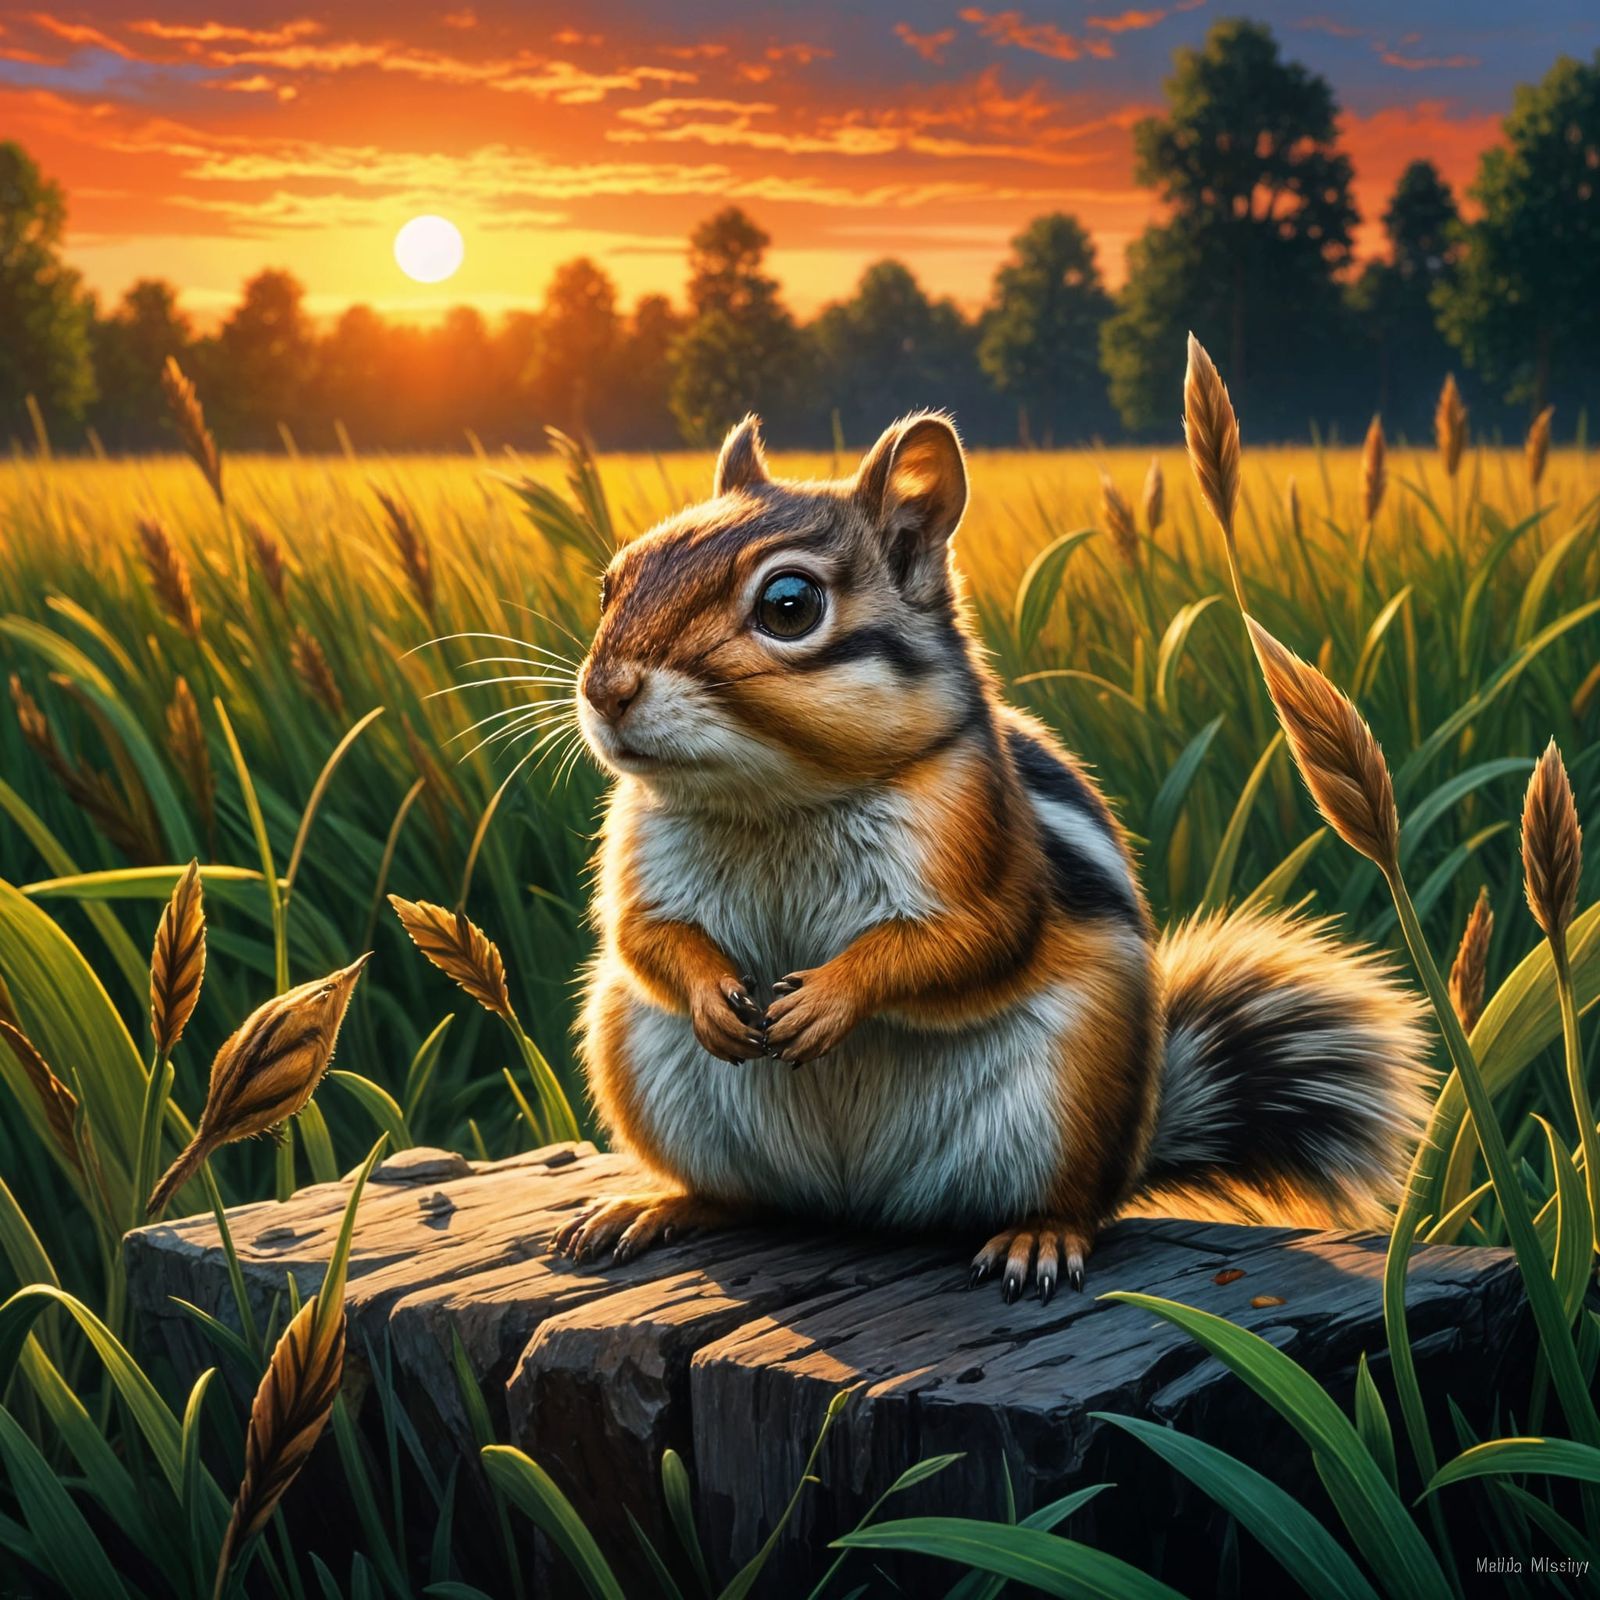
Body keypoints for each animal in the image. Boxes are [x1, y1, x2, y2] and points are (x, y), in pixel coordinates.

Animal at [551, 411, 1430, 1302]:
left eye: (789, 605)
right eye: (612, 583)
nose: (606, 689)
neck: (778, 801)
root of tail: (856, 1203)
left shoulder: (978, 840)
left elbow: (971, 941)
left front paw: (828, 998)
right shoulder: (640, 846)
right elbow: (642, 937)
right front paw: (711, 994)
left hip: (1075, 1088)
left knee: (1078, 1203)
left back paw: (1039, 1237)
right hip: (638, 1054)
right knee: (741, 1197)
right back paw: (657, 1207)